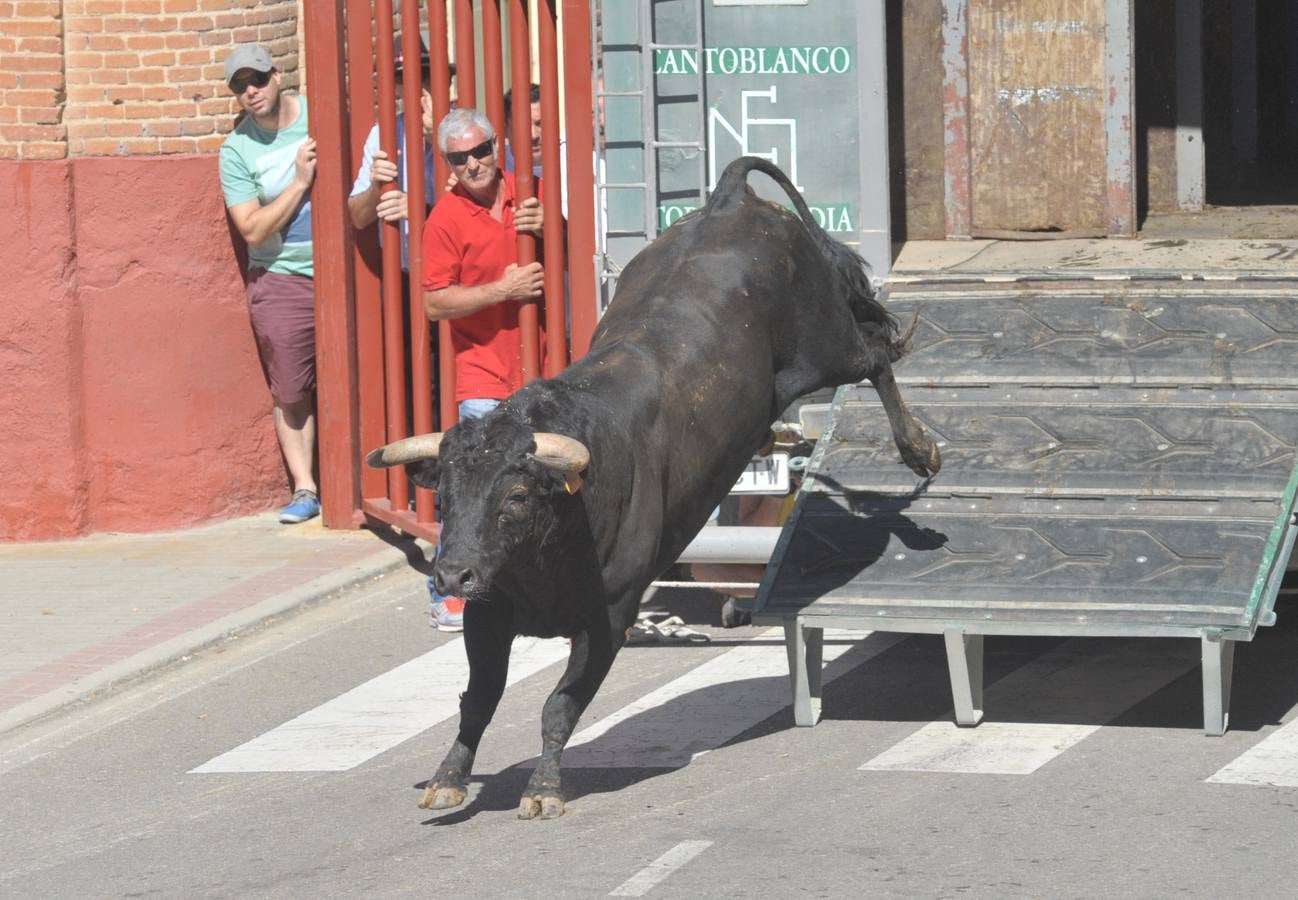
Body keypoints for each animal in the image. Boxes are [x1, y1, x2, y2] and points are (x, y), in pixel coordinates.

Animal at [371, 157, 939, 815]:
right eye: (445, 497)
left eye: (515, 497)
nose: (451, 576)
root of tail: (727, 201)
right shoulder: (488, 614)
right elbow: (479, 699)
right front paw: (449, 776)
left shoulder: (608, 618)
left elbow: (558, 706)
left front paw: (544, 789)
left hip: (825, 343)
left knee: (875, 355)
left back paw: (920, 452)